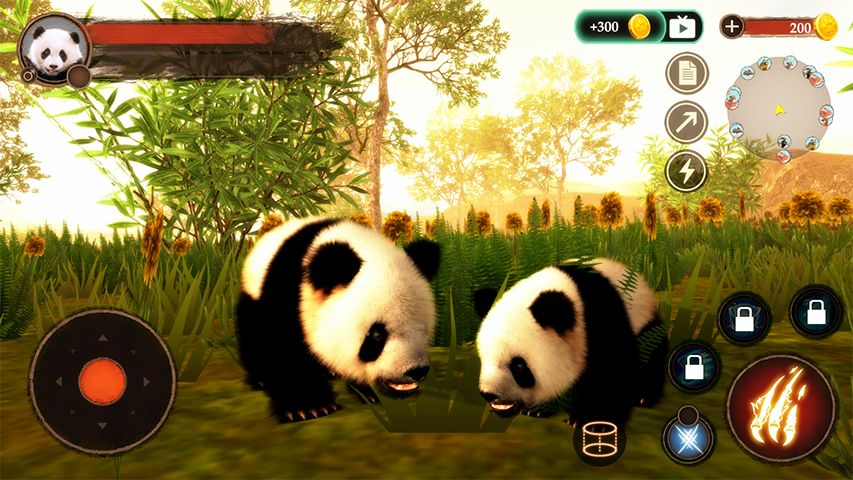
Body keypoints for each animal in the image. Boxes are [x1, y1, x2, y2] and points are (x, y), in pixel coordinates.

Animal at [235, 216, 441, 423]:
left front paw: (370, 392)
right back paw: (261, 379)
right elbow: (284, 351)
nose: (416, 371)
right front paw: (309, 408)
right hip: (252, 299)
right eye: (377, 335)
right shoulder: (285, 293)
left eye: (423, 330)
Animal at [474, 258, 667, 429]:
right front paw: (538, 409)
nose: (488, 394)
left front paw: (594, 421)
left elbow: (614, 369)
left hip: (646, 324)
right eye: (484, 358)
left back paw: (642, 396)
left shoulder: (602, 320)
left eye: (519, 366)